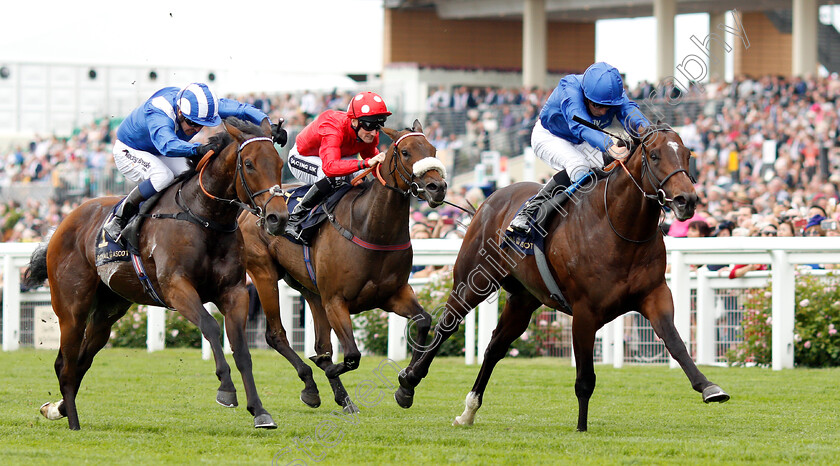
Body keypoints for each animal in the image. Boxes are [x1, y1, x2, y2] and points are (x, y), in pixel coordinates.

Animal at [23, 118, 288, 432]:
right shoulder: (176, 287)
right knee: (66, 363)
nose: (278, 218)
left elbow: (242, 350)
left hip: (108, 311)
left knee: (81, 360)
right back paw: (73, 422)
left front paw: (260, 411)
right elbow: (210, 326)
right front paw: (226, 389)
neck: (204, 217)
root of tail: (62, 225)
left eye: (279, 164)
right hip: (71, 308)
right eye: (248, 164)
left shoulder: (234, 292)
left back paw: (58, 408)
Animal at [238, 121, 446, 412]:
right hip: (264, 273)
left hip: (310, 290)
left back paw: (341, 397)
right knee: (276, 334)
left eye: (433, 149)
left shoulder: (393, 294)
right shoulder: (336, 301)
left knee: (321, 342)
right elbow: (352, 355)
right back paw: (311, 386)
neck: (371, 228)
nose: (437, 187)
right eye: (405, 152)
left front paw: (407, 383)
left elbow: (425, 321)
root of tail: (251, 208)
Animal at [394, 124, 728, 434]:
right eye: (655, 155)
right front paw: (581, 427)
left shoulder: (654, 294)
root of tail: (490, 200)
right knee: (446, 326)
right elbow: (585, 378)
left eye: (688, 155)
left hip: (523, 300)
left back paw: (469, 411)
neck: (621, 228)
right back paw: (408, 383)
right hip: (473, 280)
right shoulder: (584, 312)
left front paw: (709, 387)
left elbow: (675, 340)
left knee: (495, 347)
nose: (687, 200)